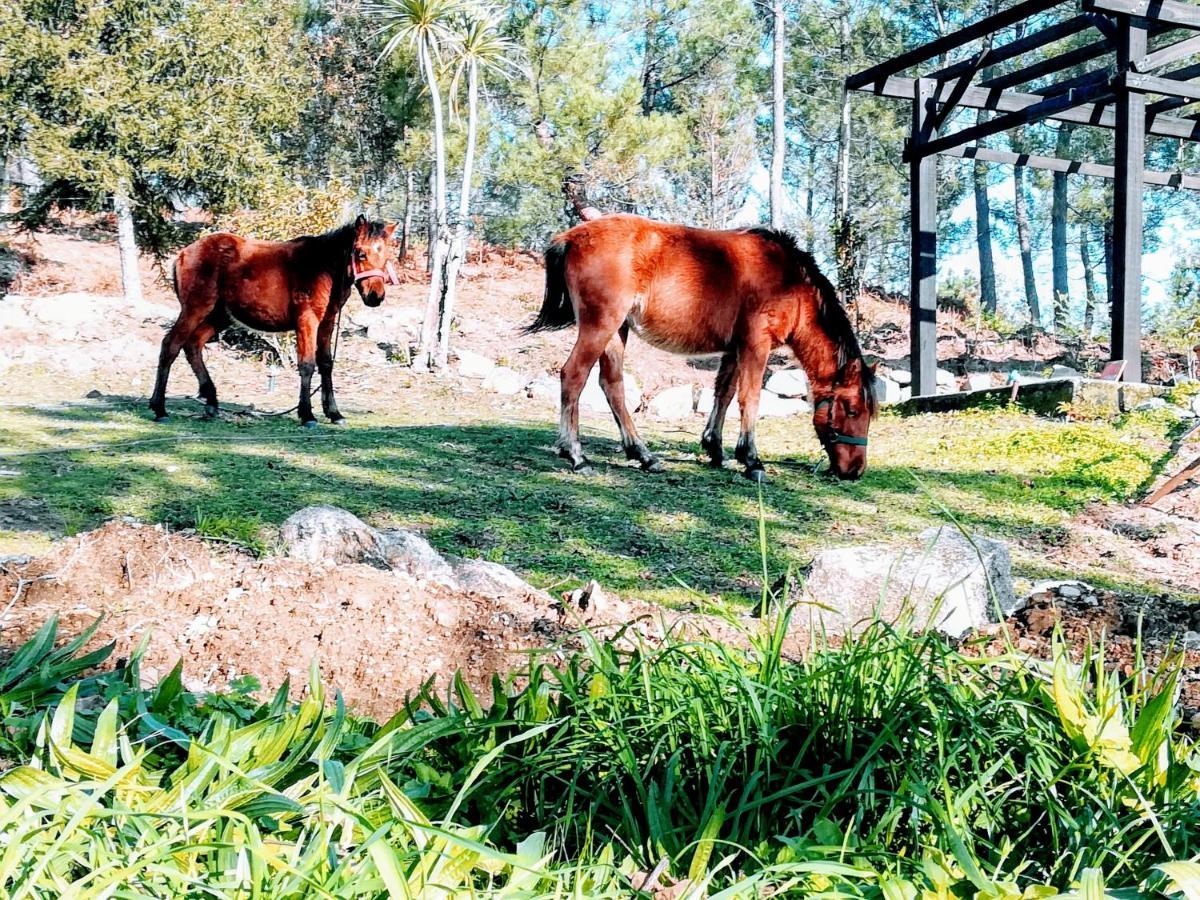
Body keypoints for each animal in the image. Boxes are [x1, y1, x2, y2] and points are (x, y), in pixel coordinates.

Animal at [150, 218, 398, 429]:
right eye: (361, 253)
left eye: (386, 255)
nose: (375, 296)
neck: (322, 268)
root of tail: (184, 252)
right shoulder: (307, 321)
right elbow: (307, 364)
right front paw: (307, 415)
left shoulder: (327, 322)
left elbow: (326, 363)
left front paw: (334, 413)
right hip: (195, 309)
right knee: (171, 345)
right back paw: (159, 408)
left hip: (219, 315)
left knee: (193, 345)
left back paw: (210, 401)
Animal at [525, 214, 883, 482]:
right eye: (852, 409)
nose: (855, 470)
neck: (789, 281)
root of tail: (572, 236)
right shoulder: (756, 345)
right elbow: (749, 398)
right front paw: (751, 460)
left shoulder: (734, 349)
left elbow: (723, 394)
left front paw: (715, 449)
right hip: (600, 326)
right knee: (574, 375)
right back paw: (575, 454)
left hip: (616, 332)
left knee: (612, 385)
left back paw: (642, 454)